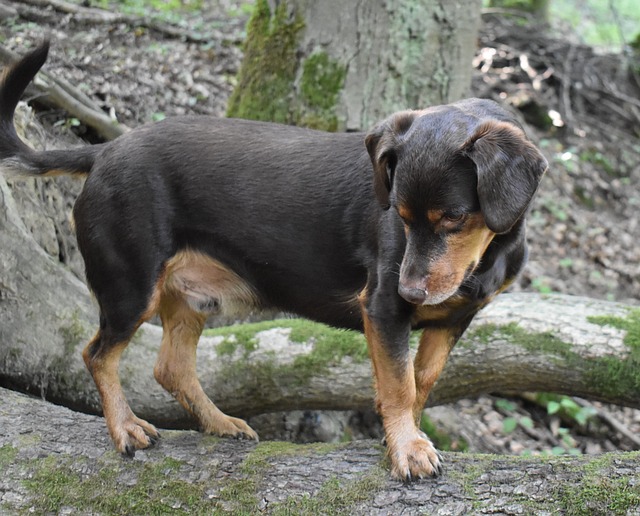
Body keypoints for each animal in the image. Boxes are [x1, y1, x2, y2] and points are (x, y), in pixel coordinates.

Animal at [1, 43, 544, 480]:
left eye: (454, 218)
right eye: (401, 215)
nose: (410, 291)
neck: (488, 253)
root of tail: (105, 150)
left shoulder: (453, 320)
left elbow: (419, 383)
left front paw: (400, 438)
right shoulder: (384, 310)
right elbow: (399, 386)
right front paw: (408, 449)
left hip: (191, 299)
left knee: (170, 368)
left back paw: (220, 424)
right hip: (129, 286)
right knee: (97, 355)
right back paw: (124, 429)